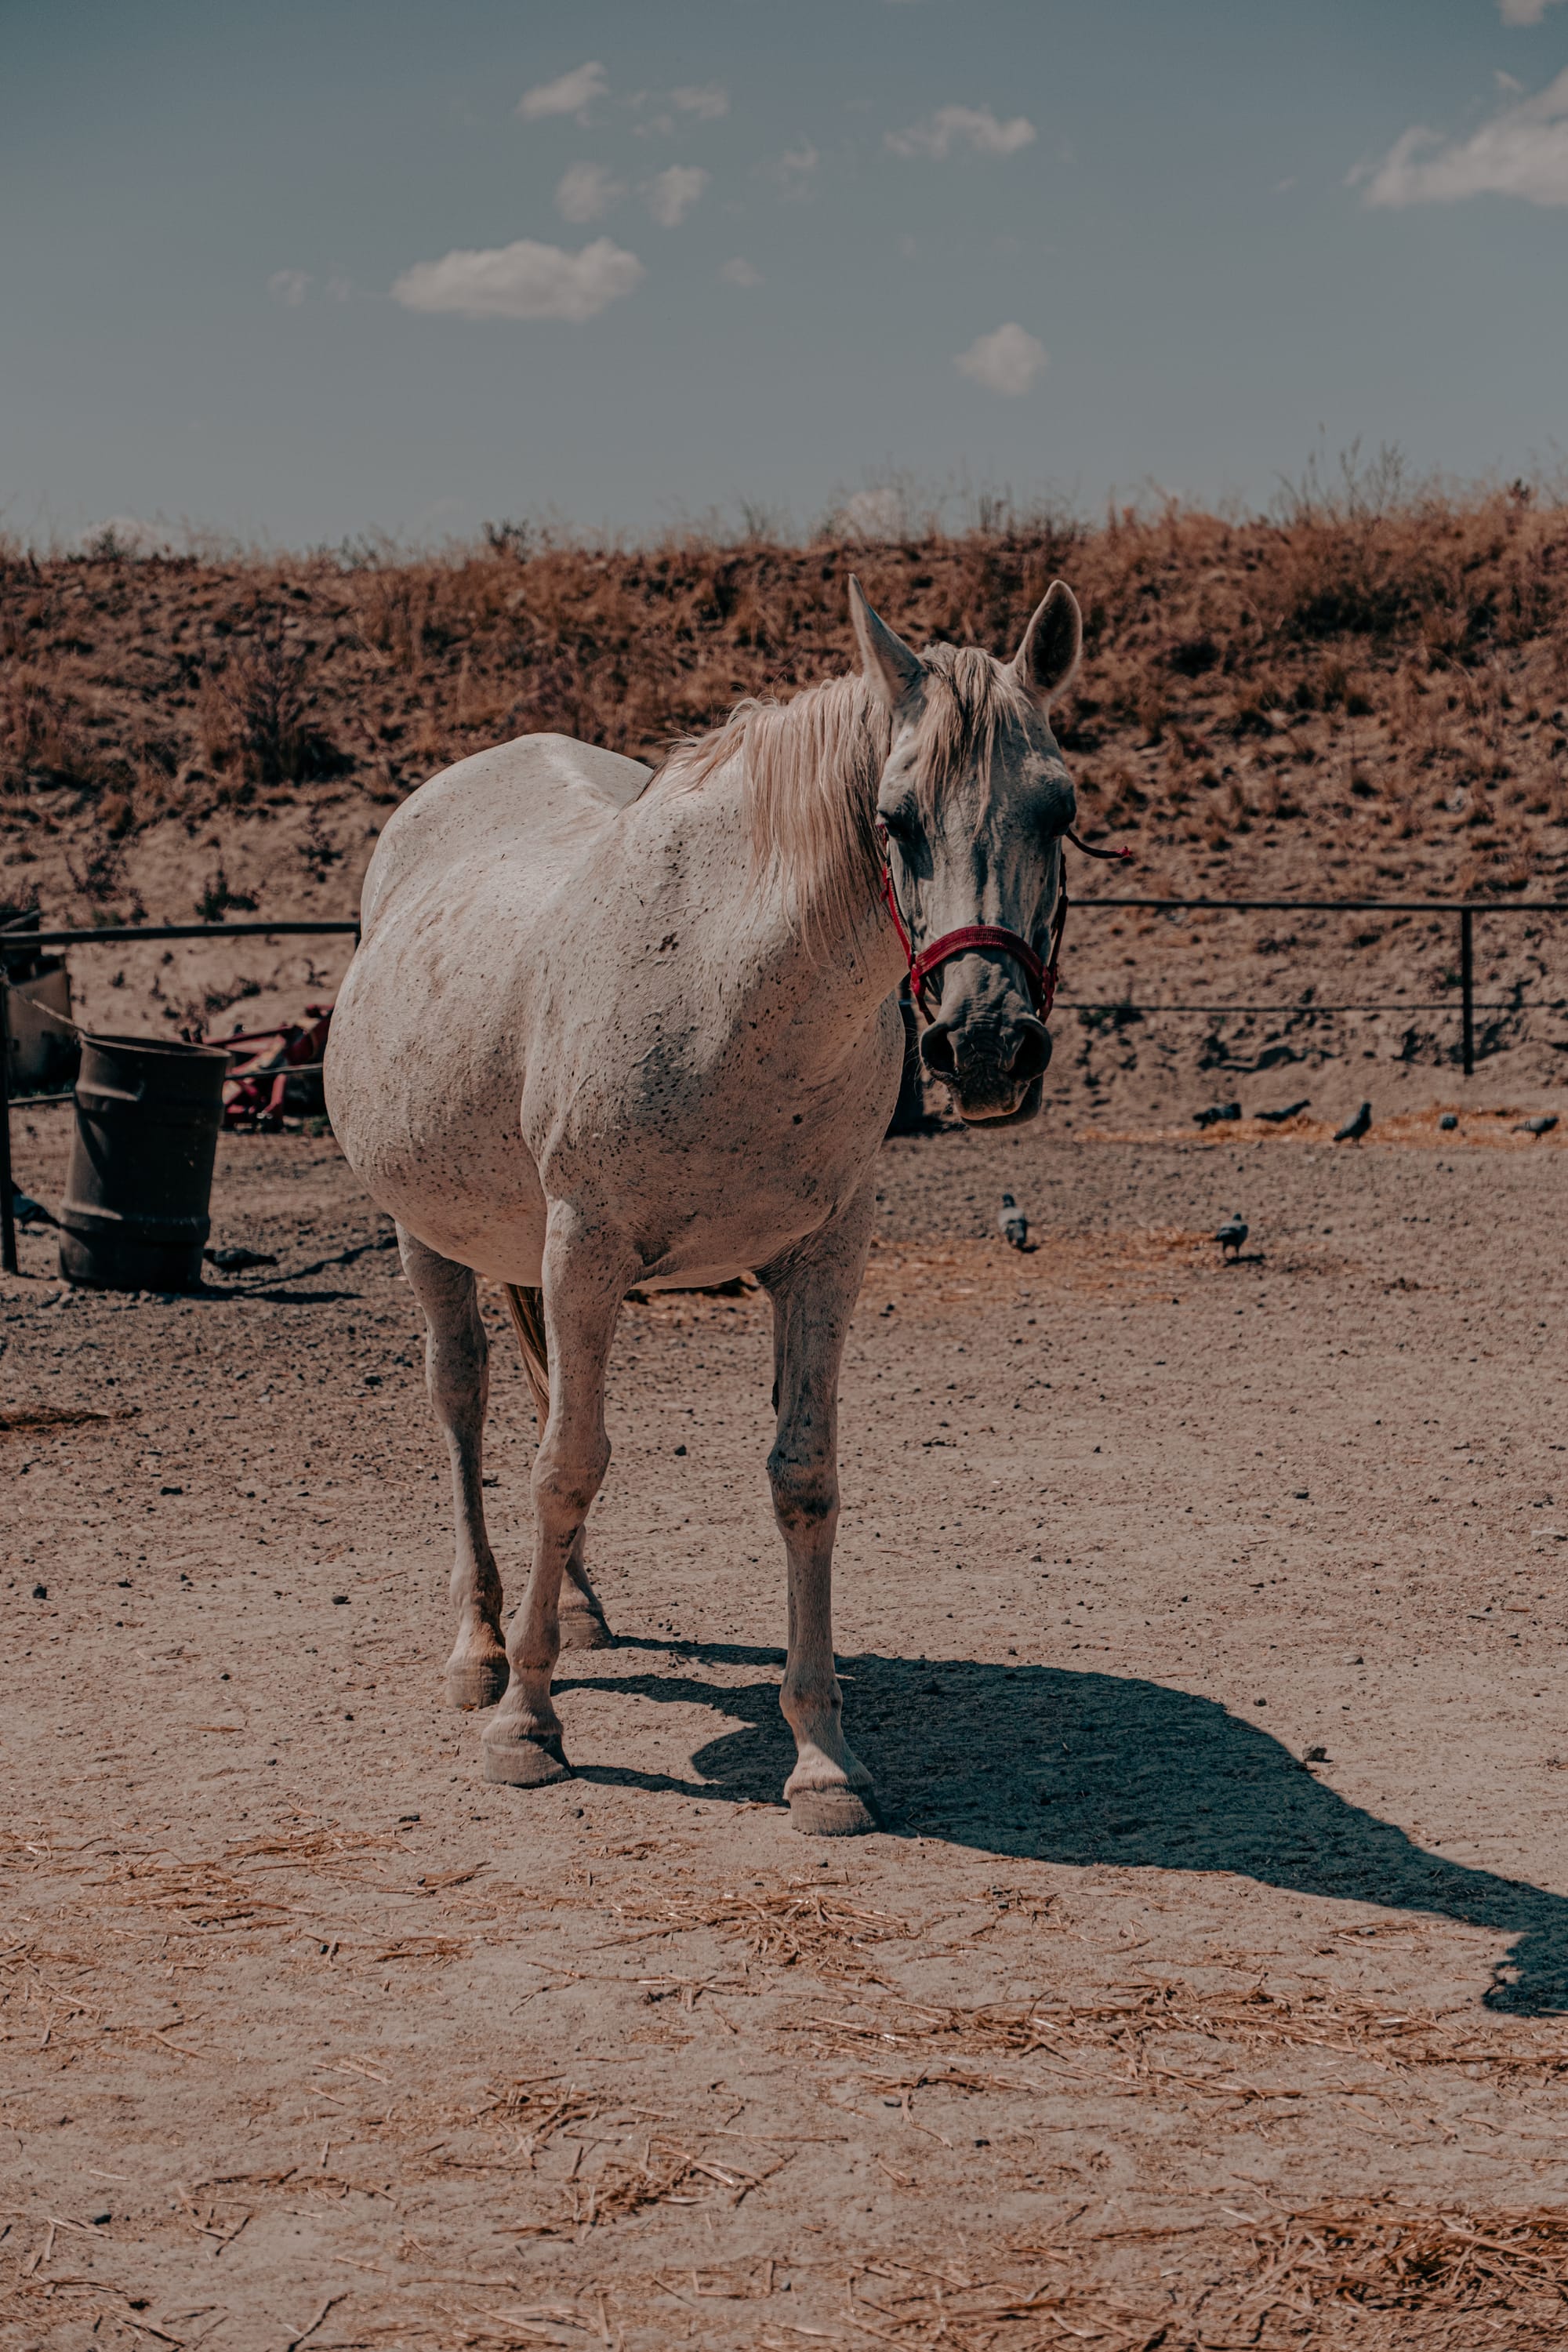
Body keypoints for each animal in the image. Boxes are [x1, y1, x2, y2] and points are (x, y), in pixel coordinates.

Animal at [323, 577, 1083, 1833]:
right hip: (429, 1237)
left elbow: (801, 1478)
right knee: (468, 1408)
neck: (730, 990)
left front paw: (823, 1755)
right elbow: (564, 1466)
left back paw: (572, 1612)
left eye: (1058, 812)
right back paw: (483, 1643)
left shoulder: (824, 1259)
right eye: (895, 818)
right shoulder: (587, 1249)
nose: (984, 1046)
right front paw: (526, 1724)